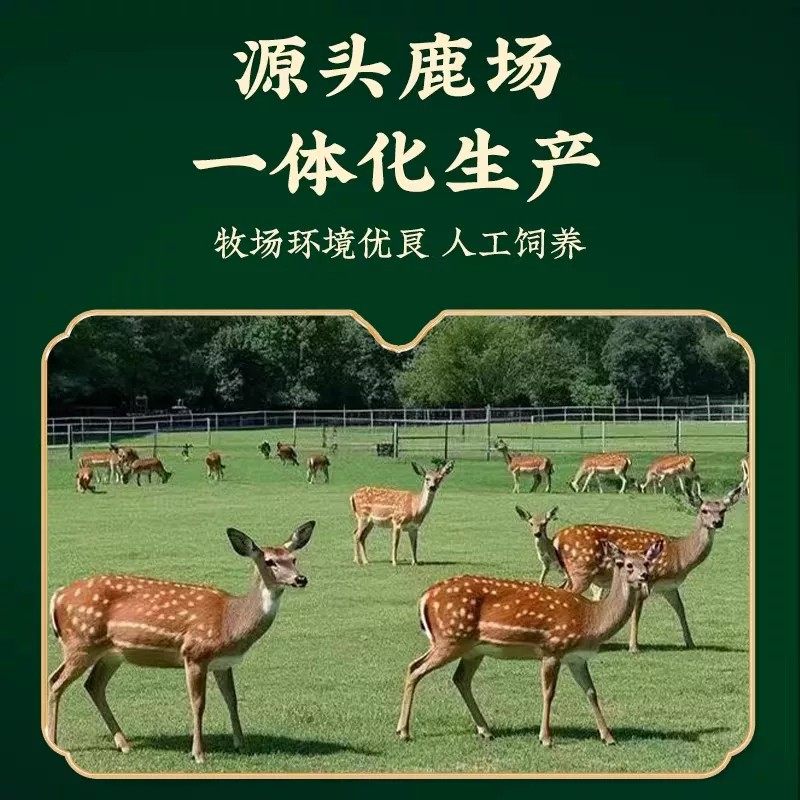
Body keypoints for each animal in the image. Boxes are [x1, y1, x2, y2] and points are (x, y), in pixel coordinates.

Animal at [47, 521, 315, 763]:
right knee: (56, 682)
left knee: (92, 685)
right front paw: (198, 754)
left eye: (293, 558)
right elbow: (198, 703)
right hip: (81, 642)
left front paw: (240, 744)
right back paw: (56, 741)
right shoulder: (195, 652)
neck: (230, 622)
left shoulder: (223, 662)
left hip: (111, 653)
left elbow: (232, 699)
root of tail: (57, 596)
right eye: (269, 561)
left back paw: (124, 744)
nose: (300, 579)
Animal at [396, 539, 663, 745]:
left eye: (647, 561)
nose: (644, 575)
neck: (591, 619)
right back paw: (403, 731)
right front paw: (545, 738)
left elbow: (591, 692)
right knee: (415, 668)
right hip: (450, 638)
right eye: (625, 564)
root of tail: (425, 597)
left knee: (459, 679)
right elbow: (548, 692)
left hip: (472, 649)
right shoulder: (553, 648)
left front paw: (608, 737)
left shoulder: (577, 658)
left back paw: (485, 730)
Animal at [553, 482, 744, 652]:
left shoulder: (669, 587)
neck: (680, 555)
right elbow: (636, 613)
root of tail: (557, 538)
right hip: (581, 571)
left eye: (723, 510)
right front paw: (633, 647)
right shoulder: (648, 579)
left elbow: (680, 608)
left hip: (570, 574)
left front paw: (690, 643)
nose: (717, 522)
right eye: (704, 510)